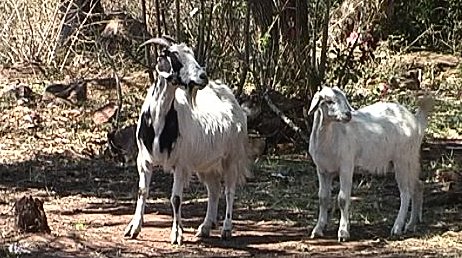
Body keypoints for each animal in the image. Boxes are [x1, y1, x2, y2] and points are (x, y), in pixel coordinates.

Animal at [122, 36, 251, 244]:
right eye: (175, 58)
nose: (203, 77)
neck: (158, 121)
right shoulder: (144, 159)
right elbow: (142, 191)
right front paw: (133, 229)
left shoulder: (181, 164)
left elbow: (176, 198)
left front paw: (176, 234)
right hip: (206, 163)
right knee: (214, 189)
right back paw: (205, 227)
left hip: (232, 156)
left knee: (229, 191)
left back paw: (226, 229)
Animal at [306, 86, 434, 242]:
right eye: (329, 101)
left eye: (344, 99)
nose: (348, 115)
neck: (330, 135)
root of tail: (416, 121)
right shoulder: (322, 170)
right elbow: (323, 198)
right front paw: (318, 229)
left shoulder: (346, 165)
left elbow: (342, 198)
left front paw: (343, 232)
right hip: (411, 159)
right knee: (418, 186)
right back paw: (411, 224)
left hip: (403, 159)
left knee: (405, 193)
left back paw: (397, 227)